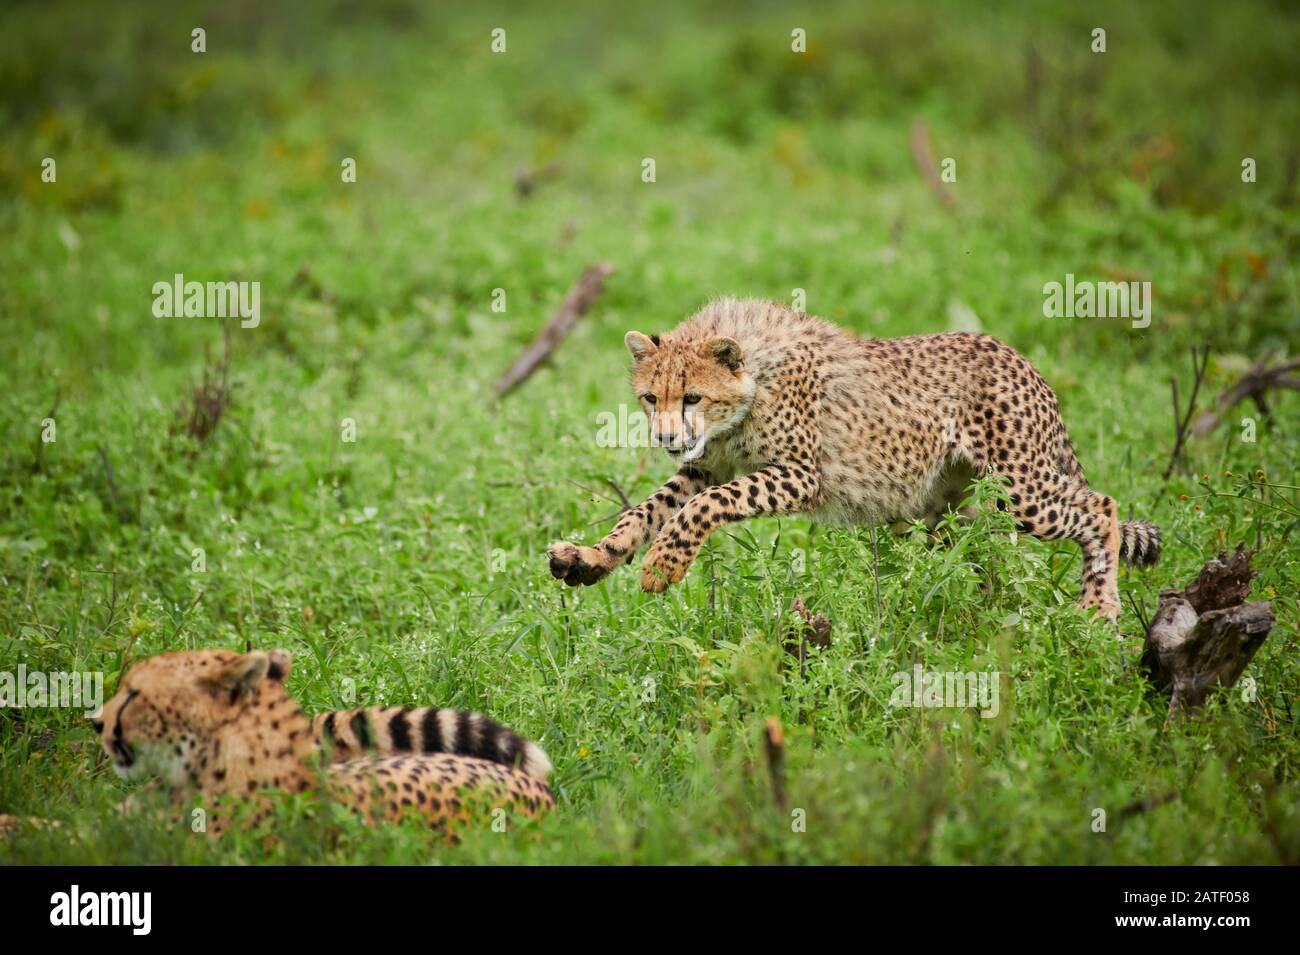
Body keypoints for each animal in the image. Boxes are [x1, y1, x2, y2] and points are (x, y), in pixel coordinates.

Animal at [546, 298, 1159, 628]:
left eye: (692, 397)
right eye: (653, 398)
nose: (666, 436)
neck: (750, 382)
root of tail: (1020, 357)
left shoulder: (799, 475)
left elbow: (704, 507)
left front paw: (664, 564)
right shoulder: (704, 466)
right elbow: (646, 511)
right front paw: (591, 558)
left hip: (1020, 490)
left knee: (1102, 507)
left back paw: (1098, 609)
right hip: (950, 508)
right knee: (982, 558)